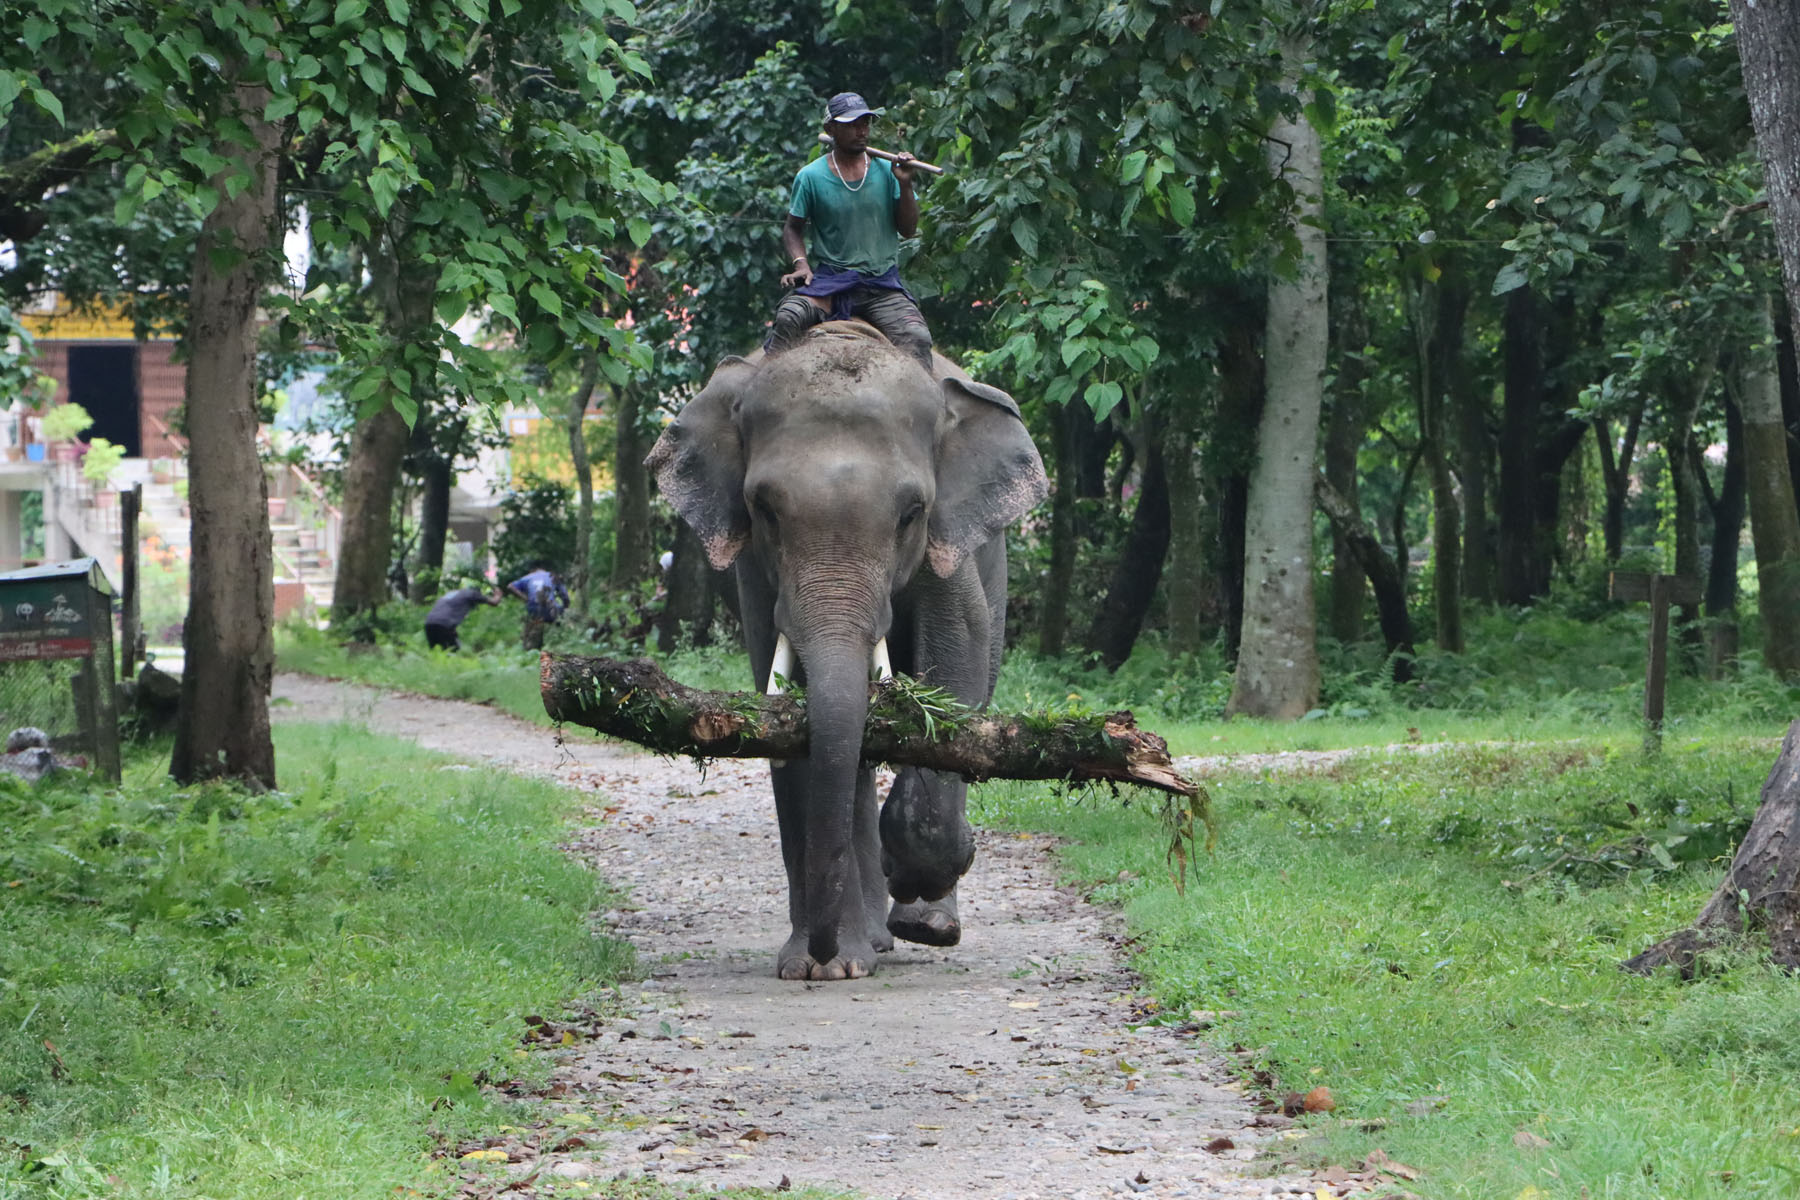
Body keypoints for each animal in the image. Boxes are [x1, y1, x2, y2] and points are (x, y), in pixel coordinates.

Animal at [648, 323, 1051, 978]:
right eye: (764, 510)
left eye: (912, 513)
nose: (820, 951)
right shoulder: (756, 575)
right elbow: (790, 718)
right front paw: (818, 967)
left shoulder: (949, 546)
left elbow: (958, 663)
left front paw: (923, 872)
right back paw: (872, 945)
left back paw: (924, 926)